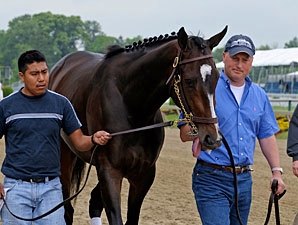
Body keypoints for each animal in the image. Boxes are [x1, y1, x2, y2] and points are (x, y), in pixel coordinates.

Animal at [49, 25, 227, 223]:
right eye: (189, 81)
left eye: (217, 77)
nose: (212, 138)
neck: (131, 108)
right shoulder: (110, 172)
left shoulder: (144, 175)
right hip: (64, 158)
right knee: (67, 210)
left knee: (94, 202)